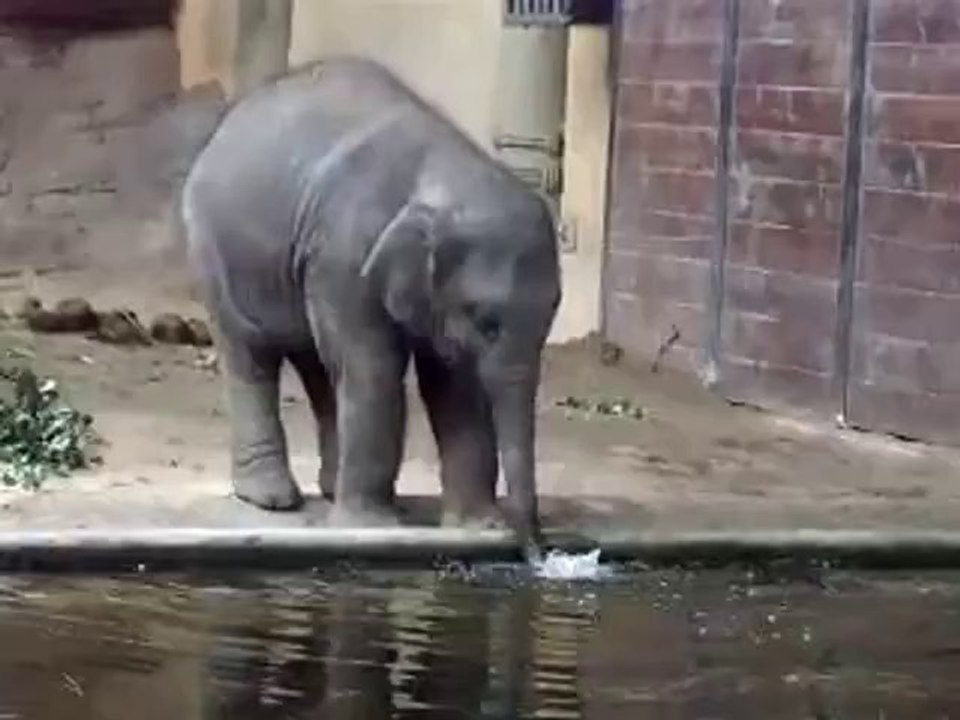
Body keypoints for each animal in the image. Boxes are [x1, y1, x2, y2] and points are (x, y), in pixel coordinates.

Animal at [180, 57, 561, 556]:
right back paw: (272, 500)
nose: (535, 548)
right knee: (252, 355)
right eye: (486, 322)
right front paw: (372, 527)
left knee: (320, 367)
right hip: (214, 249)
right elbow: (375, 365)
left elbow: (454, 384)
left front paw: (478, 526)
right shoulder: (345, 254)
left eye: (555, 312)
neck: (447, 173)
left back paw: (329, 488)